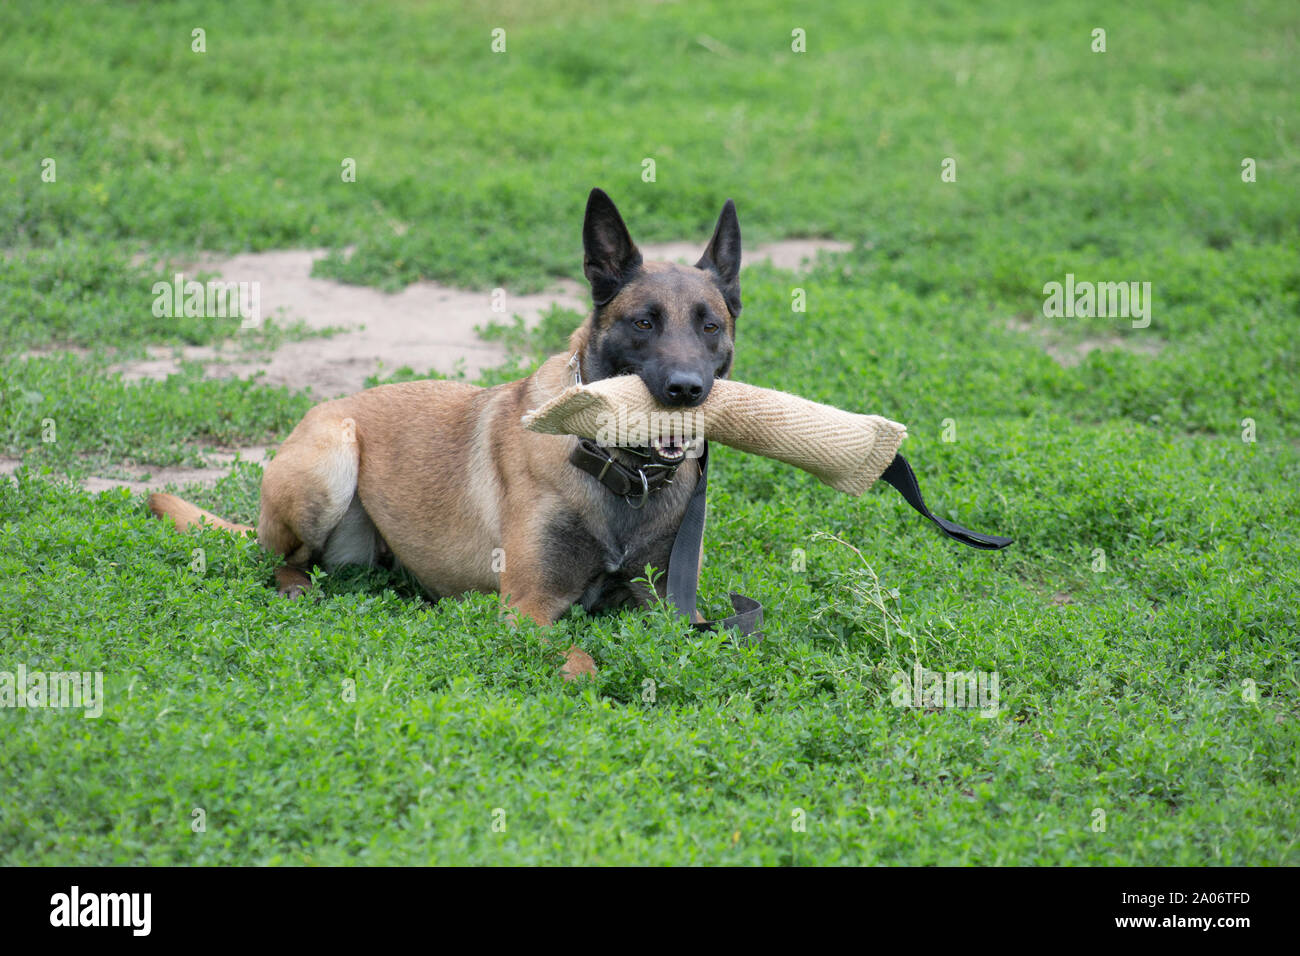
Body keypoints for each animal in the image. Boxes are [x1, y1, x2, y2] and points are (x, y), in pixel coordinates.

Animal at [149, 187, 743, 681]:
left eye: (710, 326)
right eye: (644, 323)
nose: (686, 390)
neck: (621, 471)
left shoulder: (668, 602)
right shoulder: (527, 608)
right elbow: (579, 660)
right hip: (331, 462)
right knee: (279, 561)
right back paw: (299, 588)